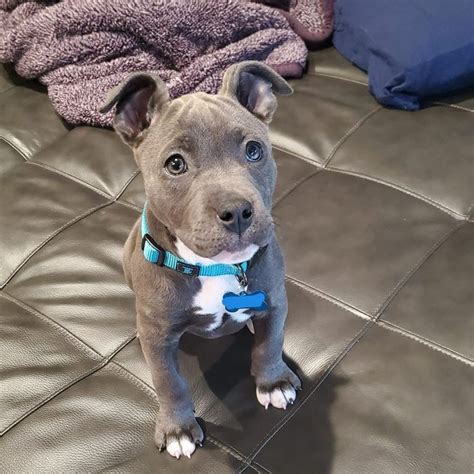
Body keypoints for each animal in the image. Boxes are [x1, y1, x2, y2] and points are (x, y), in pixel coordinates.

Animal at [101, 61, 300, 458]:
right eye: (175, 164)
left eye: (254, 151)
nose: (237, 211)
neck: (216, 267)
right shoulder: (158, 338)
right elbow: (169, 381)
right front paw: (178, 428)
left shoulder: (274, 301)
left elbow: (270, 344)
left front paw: (273, 383)